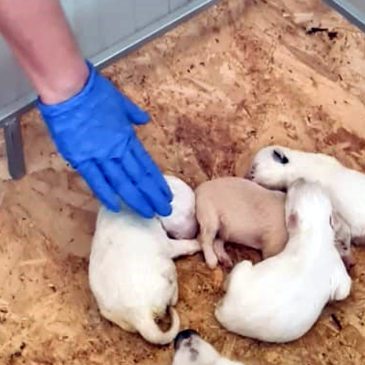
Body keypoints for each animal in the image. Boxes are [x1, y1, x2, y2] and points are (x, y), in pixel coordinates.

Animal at [88, 175, 199, 342]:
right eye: (191, 212)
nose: (197, 230)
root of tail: (139, 314)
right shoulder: (168, 244)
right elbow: (183, 246)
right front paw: (198, 243)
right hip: (167, 268)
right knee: (172, 295)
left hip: (114, 315)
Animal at [213, 181, 350, 342]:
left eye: (290, 197)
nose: (301, 179)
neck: (316, 234)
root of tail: (224, 313)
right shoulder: (339, 272)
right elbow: (343, 290)